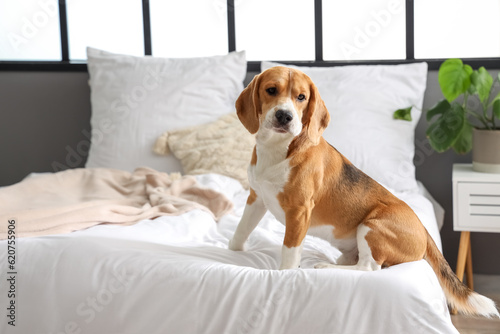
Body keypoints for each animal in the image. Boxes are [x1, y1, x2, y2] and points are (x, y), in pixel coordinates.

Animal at [229, 66, 498, 318]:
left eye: (301, 97)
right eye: (271, 90)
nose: (284, 116)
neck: (277, 150)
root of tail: (423, 228)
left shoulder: (298, 211)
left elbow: (289, 250)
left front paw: (284, 274)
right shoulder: (256, 198)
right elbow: (241, 229)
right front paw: (232, 251)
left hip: (371, 226)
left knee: (369, 268)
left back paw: (327, 268)